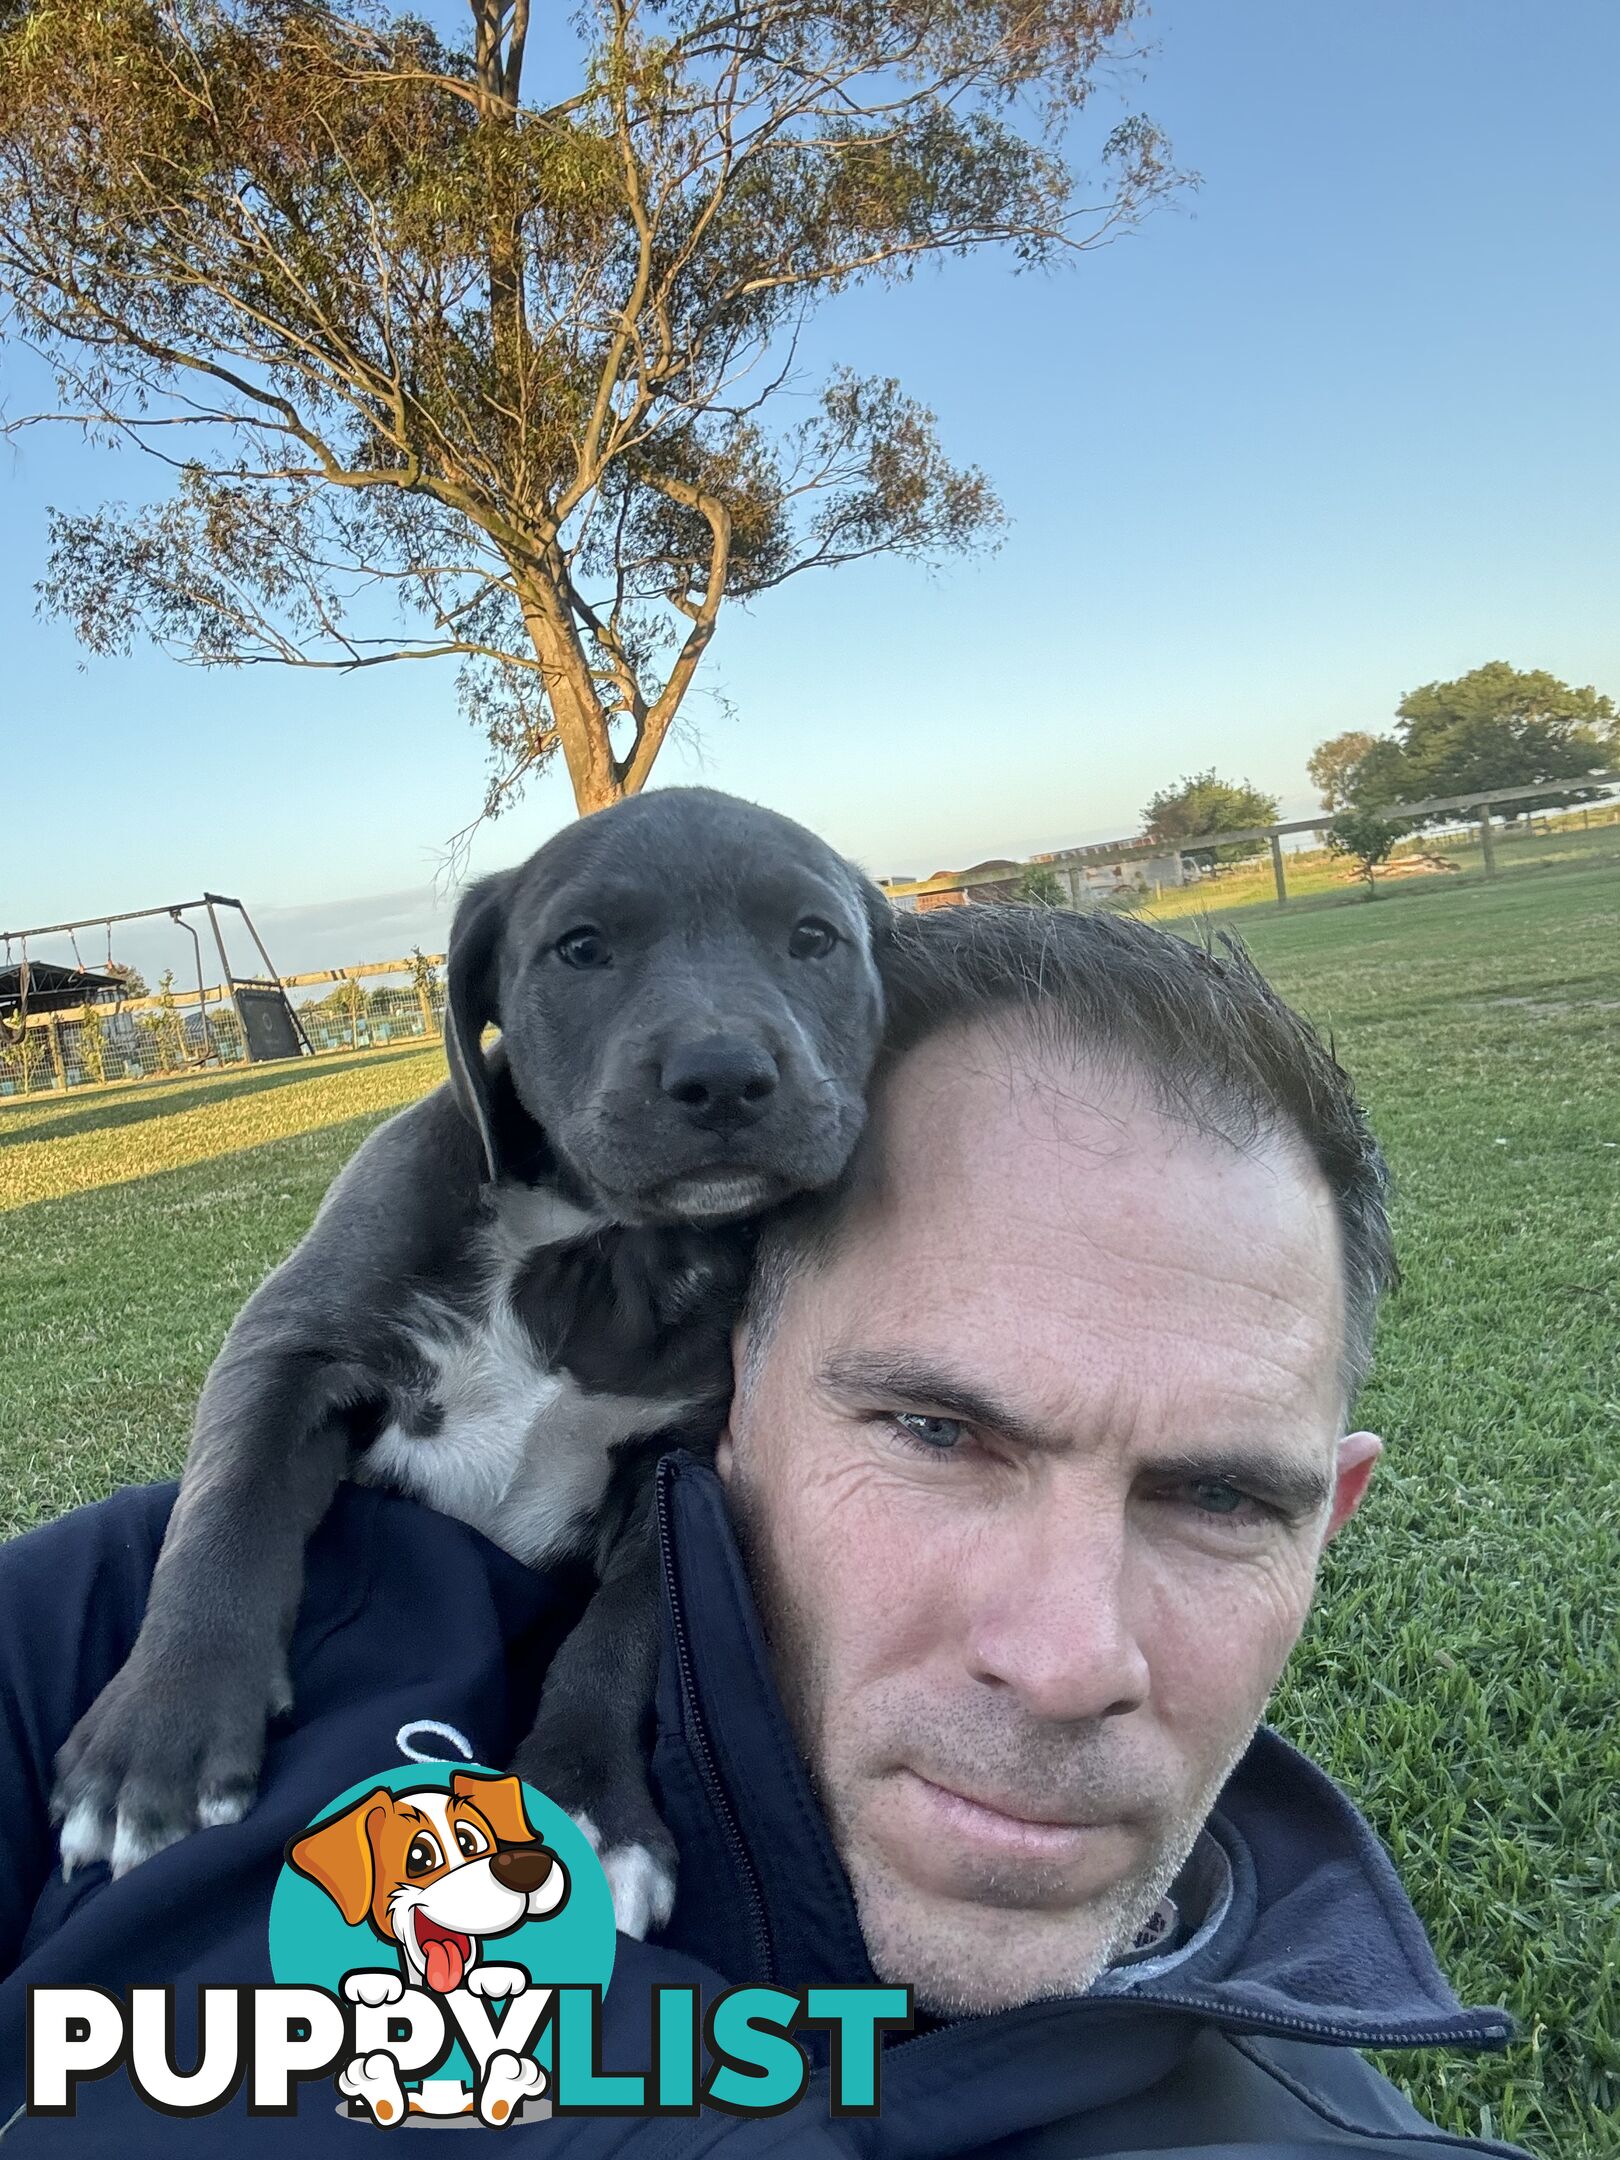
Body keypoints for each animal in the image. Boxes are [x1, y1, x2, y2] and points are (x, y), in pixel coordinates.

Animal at [54, 786, 889, 1935]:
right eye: (580, 948)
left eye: (813, 938)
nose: (723, 1076)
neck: (592, 1243)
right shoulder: (286, 1349)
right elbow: (224, 1516)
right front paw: (161, 1737)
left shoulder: (675, 1467)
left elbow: (627, 1628)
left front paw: (584, 1803)